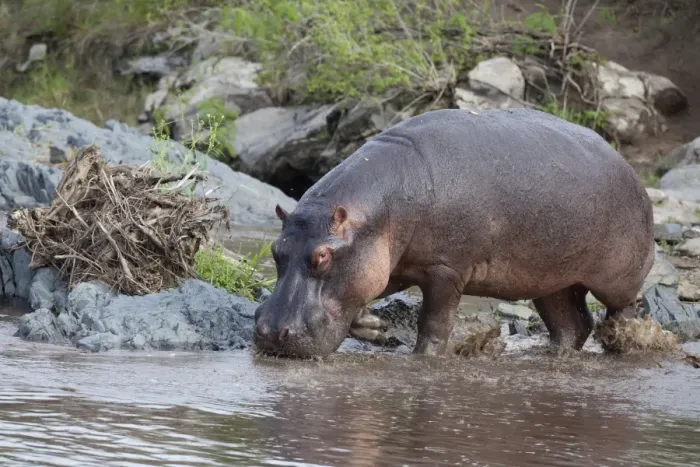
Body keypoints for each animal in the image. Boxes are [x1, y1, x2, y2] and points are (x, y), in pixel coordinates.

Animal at [253, 108, 655, 358]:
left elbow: (434, 324)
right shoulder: (393, 264)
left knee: (624, 307)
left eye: (322, 256)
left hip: (617, 276)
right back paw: (554, 354)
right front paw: (370, 325)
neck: (386, 205)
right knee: (573, 325)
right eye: (275, 250)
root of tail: (628, 167)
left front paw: (424, 357)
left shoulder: (446, 270)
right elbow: (366, 291)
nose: (270, 332)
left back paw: (623, 340)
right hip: (552, 280)